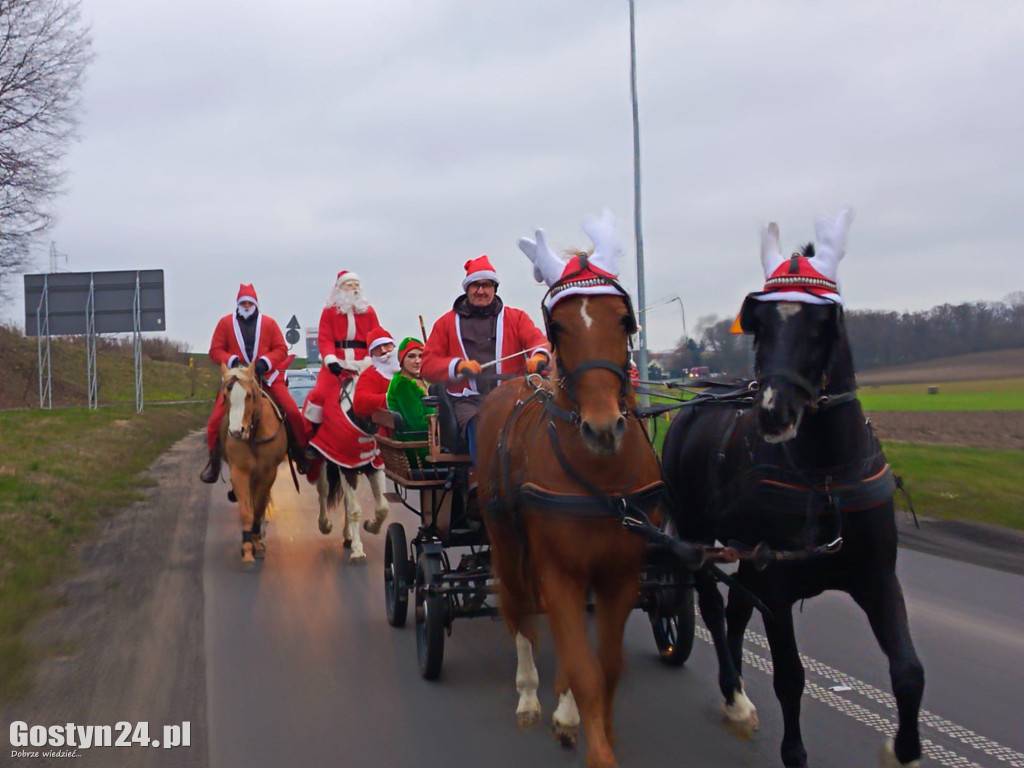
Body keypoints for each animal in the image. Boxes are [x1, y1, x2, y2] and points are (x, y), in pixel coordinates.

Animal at [220, 360, 290, 565]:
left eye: (249, 395)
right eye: (225, 396)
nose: (237, 431)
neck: (253, 434)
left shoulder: (268, 473)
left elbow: (259, 507)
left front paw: (257, 542)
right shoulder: (239, 472)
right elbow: (247, 510)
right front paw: (247, 547)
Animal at [477, 214, 667, 768]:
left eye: (624, 320)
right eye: (558, 327)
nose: (603, 428)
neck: (601, 479)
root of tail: (518, 382)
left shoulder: (620, 573)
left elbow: (606, 666)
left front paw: (587, 722)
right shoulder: (558, 568)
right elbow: (584, 669)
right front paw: (594, 746)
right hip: (506, 539)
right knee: (518, 608)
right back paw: (528, 695)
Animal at [659, 205, 925, 768]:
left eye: (823, 323)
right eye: (758, 325)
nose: (773, 412)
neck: (826, 475)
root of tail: (695, 404)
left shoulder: (876, 575)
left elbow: (909, 673)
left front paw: (903, 748)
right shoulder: (779, 586)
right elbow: (790, 677)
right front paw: (794, 750)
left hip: (744, 549)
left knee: (735, 611)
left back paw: (733, 687)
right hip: (695, 532)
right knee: (712, 606)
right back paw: (735, 695)